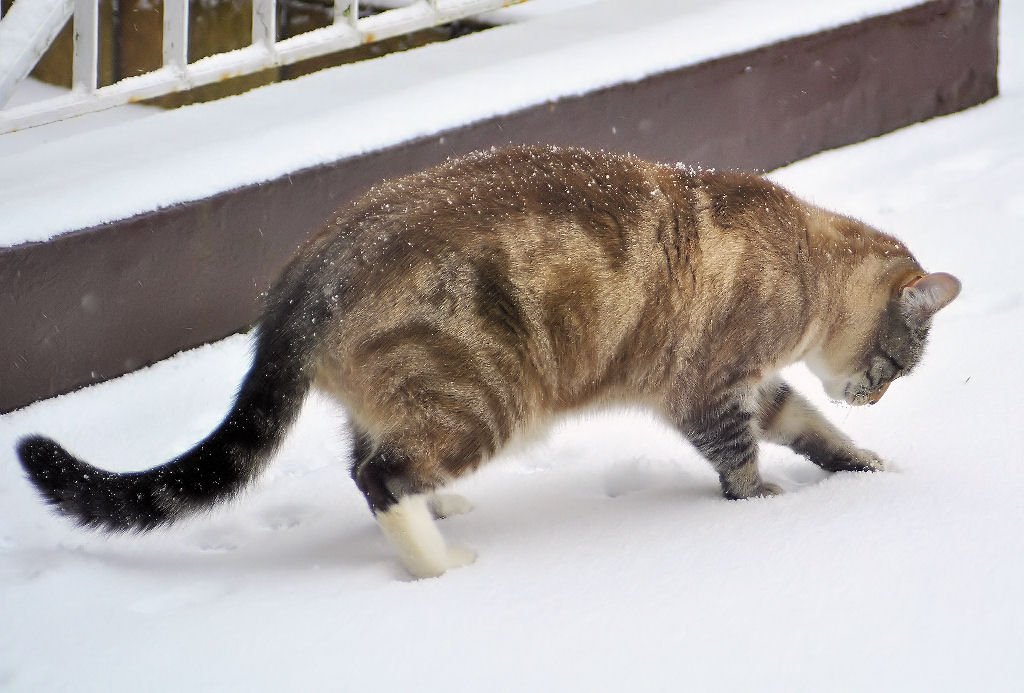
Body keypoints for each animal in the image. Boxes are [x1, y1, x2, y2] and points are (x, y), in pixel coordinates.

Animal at [14, 144, 958, 577]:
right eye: (896, 363)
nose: (878, 398)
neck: (805, 259)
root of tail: (308, 271)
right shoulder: (710, 391)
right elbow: (745, 465)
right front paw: (768, 510)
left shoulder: (757, 388)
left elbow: (814, 428)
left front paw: (870, 465)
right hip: (483, 404)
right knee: (379, 476)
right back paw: (442, 564)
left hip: (413, 403)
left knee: (370, 459)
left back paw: (445, 513)